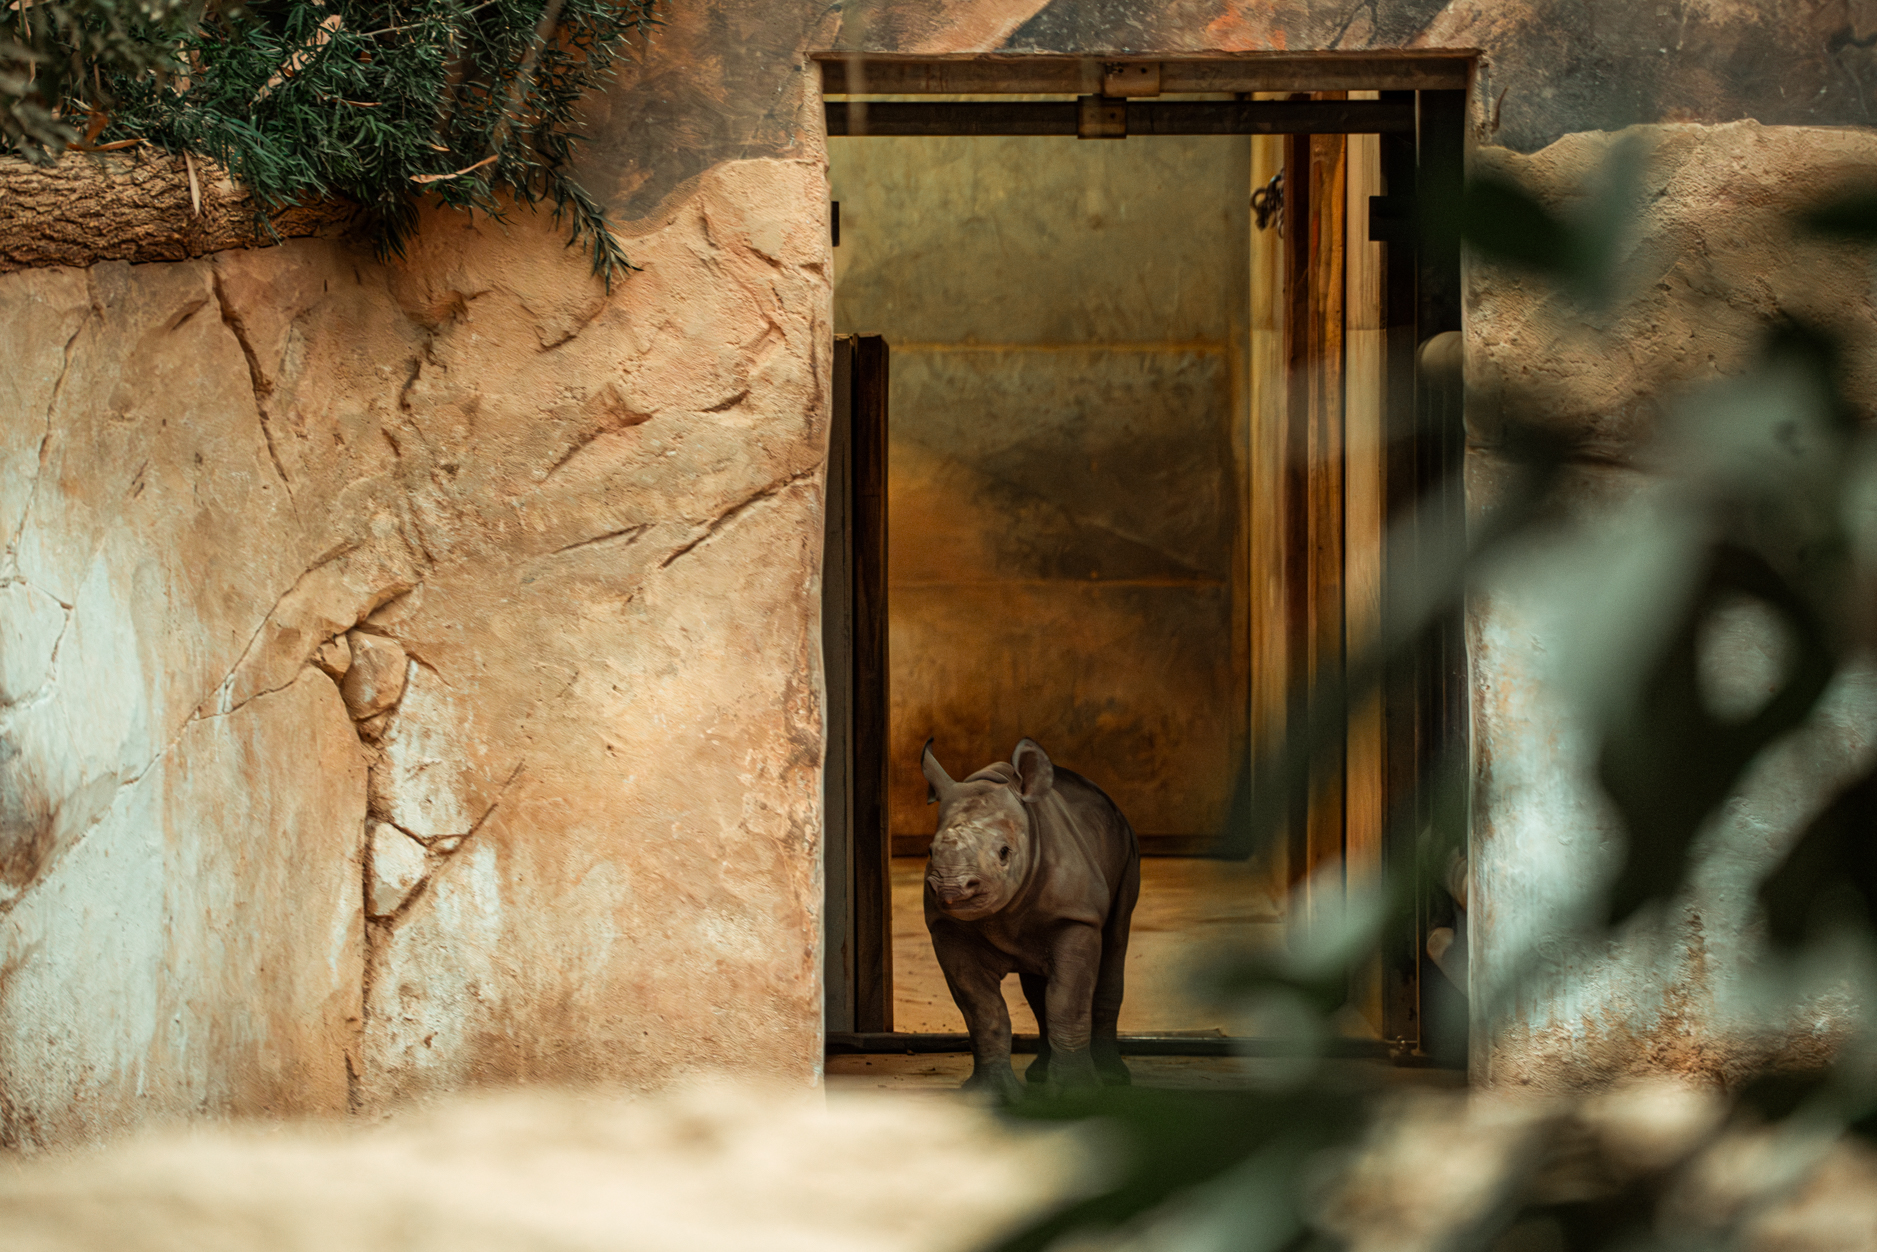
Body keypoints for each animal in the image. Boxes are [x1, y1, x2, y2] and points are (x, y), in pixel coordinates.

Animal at [921, 737, 1141, 1100]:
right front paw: (991, 1095)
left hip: (1126, 845)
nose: (952, 887)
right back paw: (1039, 1075)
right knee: (1038, 989)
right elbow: (983, 1010)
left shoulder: (1076, 917)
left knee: (1115, 943)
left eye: (1004, 853)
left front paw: (1076, 1093)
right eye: (929, 851)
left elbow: (1067, 1003)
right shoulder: (948, 927)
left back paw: (1115, 1077)